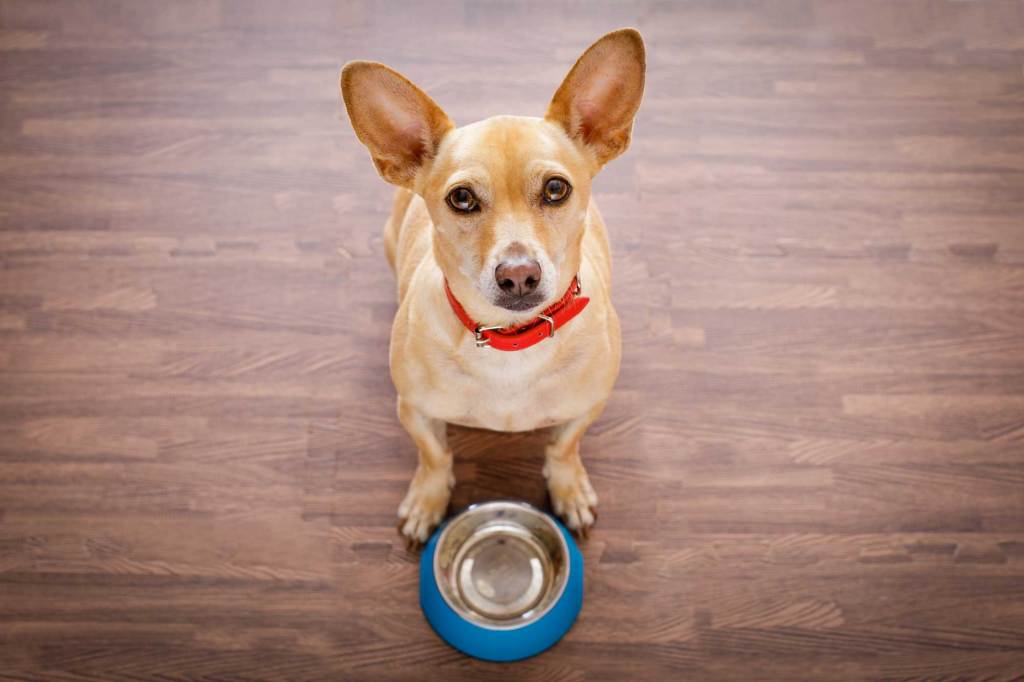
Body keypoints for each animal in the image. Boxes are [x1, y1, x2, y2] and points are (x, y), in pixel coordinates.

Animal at [342, 29, 647, 540]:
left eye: (556, 190)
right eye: (462, 198)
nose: (518, 274)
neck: (511, 342)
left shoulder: (586, 408)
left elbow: (563, 448)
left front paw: (568, 488)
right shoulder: (415, 411)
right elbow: (435, 456)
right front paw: (428, 499)